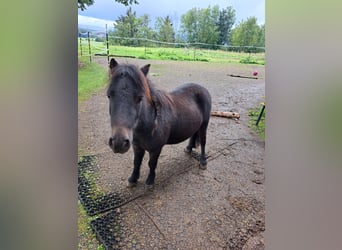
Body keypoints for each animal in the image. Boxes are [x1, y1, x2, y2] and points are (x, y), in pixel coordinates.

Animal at [107, 57, 211, 185]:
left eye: (140, 98)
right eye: (109, 95)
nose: (119, 142)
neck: (151, 124)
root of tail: (203, 89)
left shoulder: (156, 149)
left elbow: (152, 164)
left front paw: (150, 181)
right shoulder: (137, 147)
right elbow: (136, 162)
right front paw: (133, 179)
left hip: (204, 125)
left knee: (203, 142)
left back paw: (203, 161)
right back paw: (188, 148)